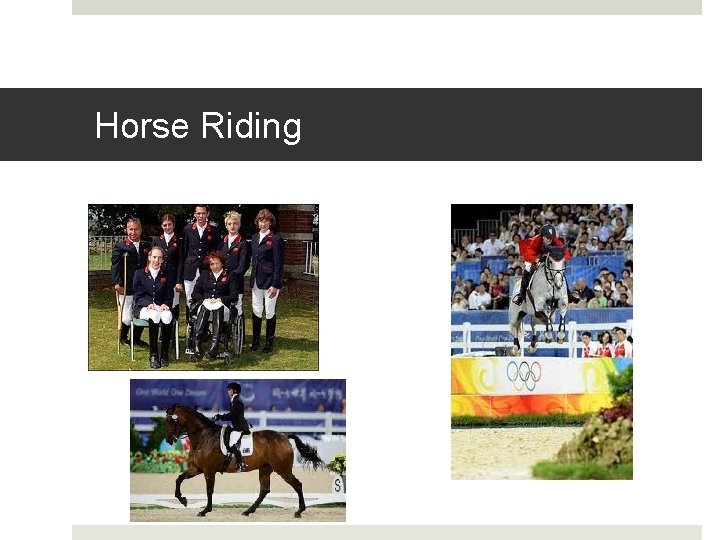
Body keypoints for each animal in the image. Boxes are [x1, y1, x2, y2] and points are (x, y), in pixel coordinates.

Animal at [164, 404, 325, 518]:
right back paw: (248, 511)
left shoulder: (209, 471)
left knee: (297, 485)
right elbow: (179, 479)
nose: (169, 440)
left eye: (172, 420)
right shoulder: (197, 469)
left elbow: (209, 490)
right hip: (265, 469)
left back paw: (299, 512)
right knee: (264, 490)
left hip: (283, 469)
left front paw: (205, 511)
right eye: (166, 421)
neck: (204, 436)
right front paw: (183, 500)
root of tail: (284, 436)